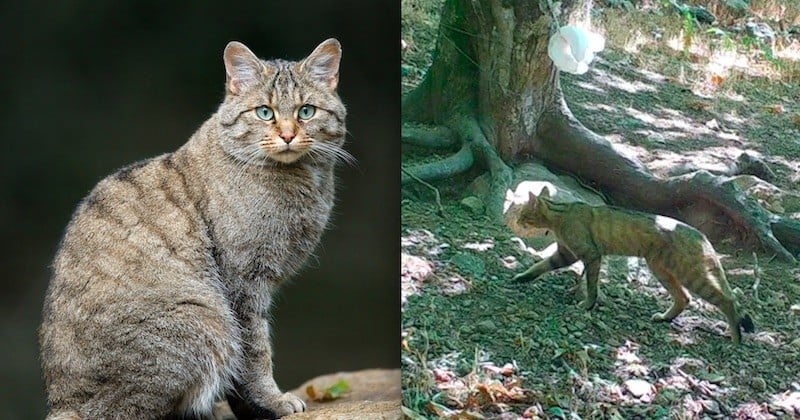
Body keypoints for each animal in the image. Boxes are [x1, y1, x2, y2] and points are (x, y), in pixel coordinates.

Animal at [38, 38, 350, 416]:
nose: (289, 135)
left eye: (306, 111)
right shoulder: (243, 282)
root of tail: (63, 402)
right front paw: (272, 401)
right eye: (265, 112)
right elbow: (254, 353)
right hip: (205, 321)